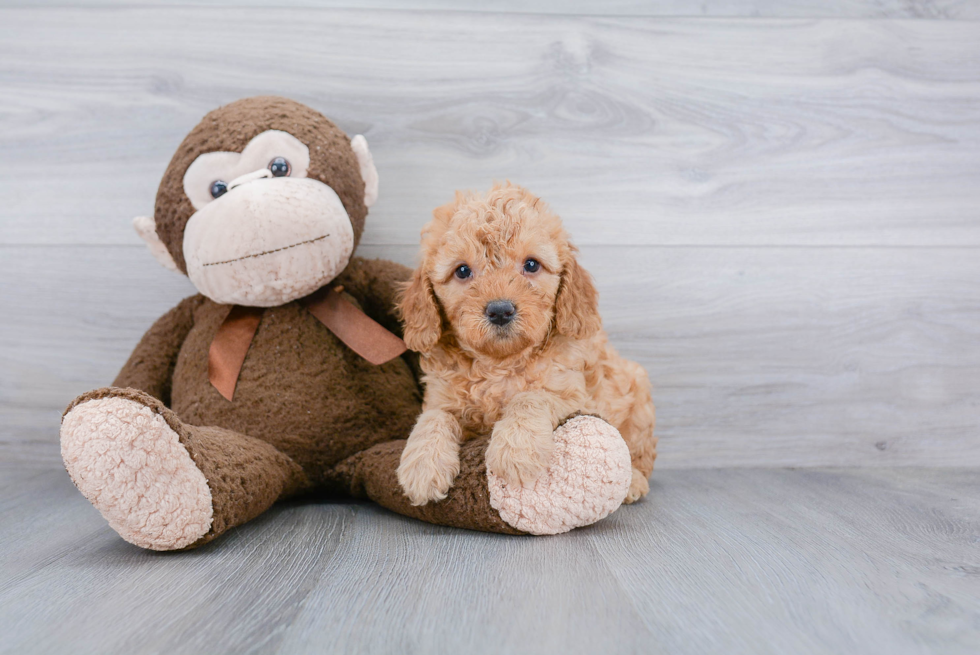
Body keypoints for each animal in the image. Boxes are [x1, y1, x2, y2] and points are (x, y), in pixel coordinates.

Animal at [394, 183, 656, 508]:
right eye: (462, 271)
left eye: (531, 265)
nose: (500, 310)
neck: (499, 364)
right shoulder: (440, 396)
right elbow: (434, 417)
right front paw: (422, 466)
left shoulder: (575, 396)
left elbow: (530, 397)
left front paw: (516, 451)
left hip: (639, 401)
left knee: (640, 454)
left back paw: (635, 482)